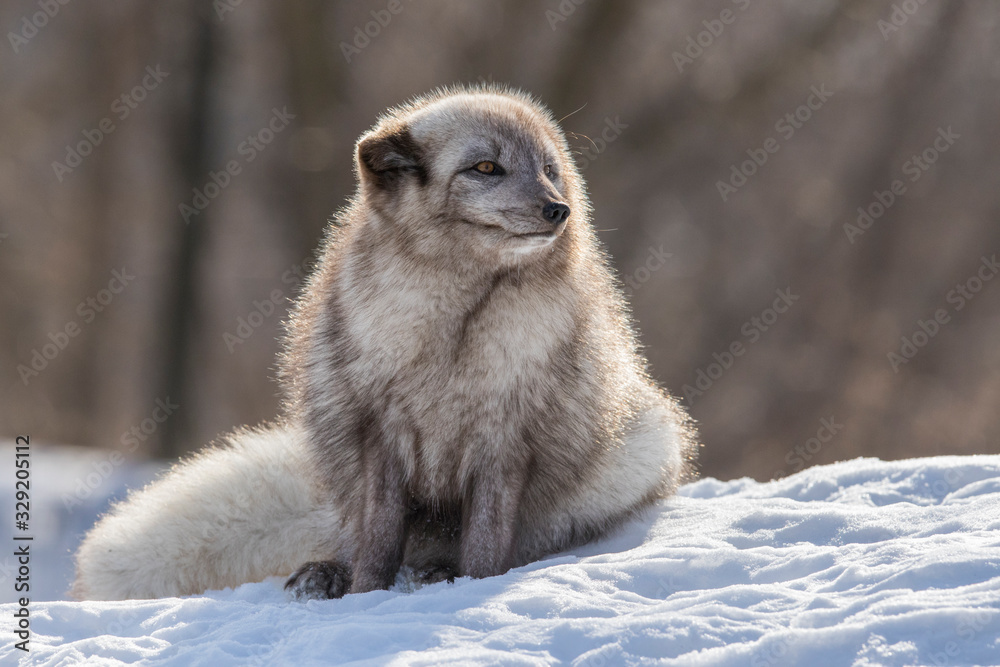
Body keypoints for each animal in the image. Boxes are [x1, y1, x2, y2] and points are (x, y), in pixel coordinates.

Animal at [72, 85, 698, 601]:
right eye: (487, 167)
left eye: (549, 169)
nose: (558, 209)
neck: (456, 329)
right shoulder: (380, 430)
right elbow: (377, 543)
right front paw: (363, 595)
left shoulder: (506, 440)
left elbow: (487, 544)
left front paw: (472, 583)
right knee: (363, 537)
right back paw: (329, 573)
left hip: (642, 447)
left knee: (518, 542)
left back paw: (436, 571)